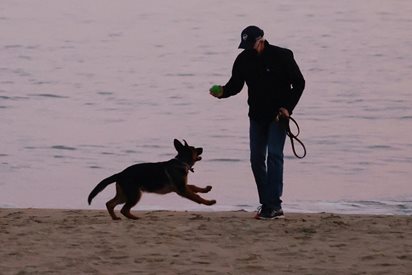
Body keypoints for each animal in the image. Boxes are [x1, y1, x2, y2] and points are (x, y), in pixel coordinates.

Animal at [87, 139, 216, 221]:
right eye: (194, 149)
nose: (202, 148)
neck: (181, 162)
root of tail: (120, 174)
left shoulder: (182, 186)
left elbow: (194, 187)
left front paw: (206, 189)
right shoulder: (182, 190)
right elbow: (196, 197)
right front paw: (209, 202)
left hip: (124, 194)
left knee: (110, 203)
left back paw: (115, 218)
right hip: (135, 194)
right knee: (124, 209)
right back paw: (134, 217)